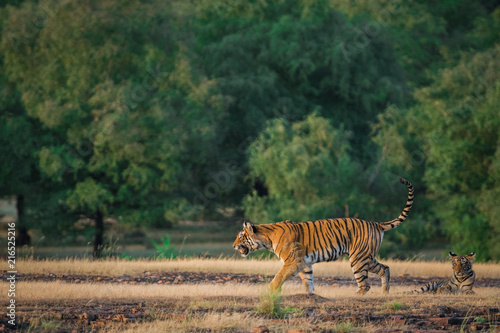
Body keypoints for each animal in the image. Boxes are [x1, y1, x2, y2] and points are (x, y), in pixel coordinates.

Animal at [232, 176, 412, 294]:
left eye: (241, 235)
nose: (233, 246)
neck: (267, 239)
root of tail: (375, 223)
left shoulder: (292, 261)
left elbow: (278, 277)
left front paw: (271, 291)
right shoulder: (303, 263)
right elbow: (308, 282)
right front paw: (310, 296)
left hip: (358, 258)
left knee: (365, 284)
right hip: (367, 257)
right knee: (385, 268)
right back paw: (385, 293)